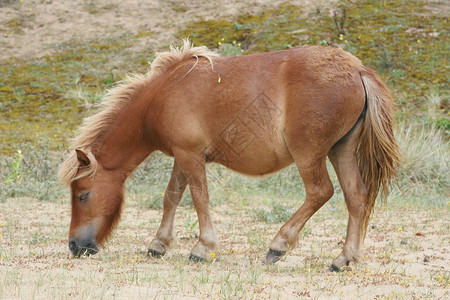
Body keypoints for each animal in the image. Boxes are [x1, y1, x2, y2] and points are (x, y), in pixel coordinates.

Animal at [58, 38, 400, 270]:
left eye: (83, 195)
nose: (75, 245)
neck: (162, 95)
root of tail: (358, 69)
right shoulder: (182, 156)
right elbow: (172, 197)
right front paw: (158, 244)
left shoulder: (190, 156)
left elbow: (199, 198)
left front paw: (203, 248)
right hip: (341, 150)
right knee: (356, 197)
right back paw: (344, 258)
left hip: (310, 154)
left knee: (320, 192)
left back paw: (278, 246)